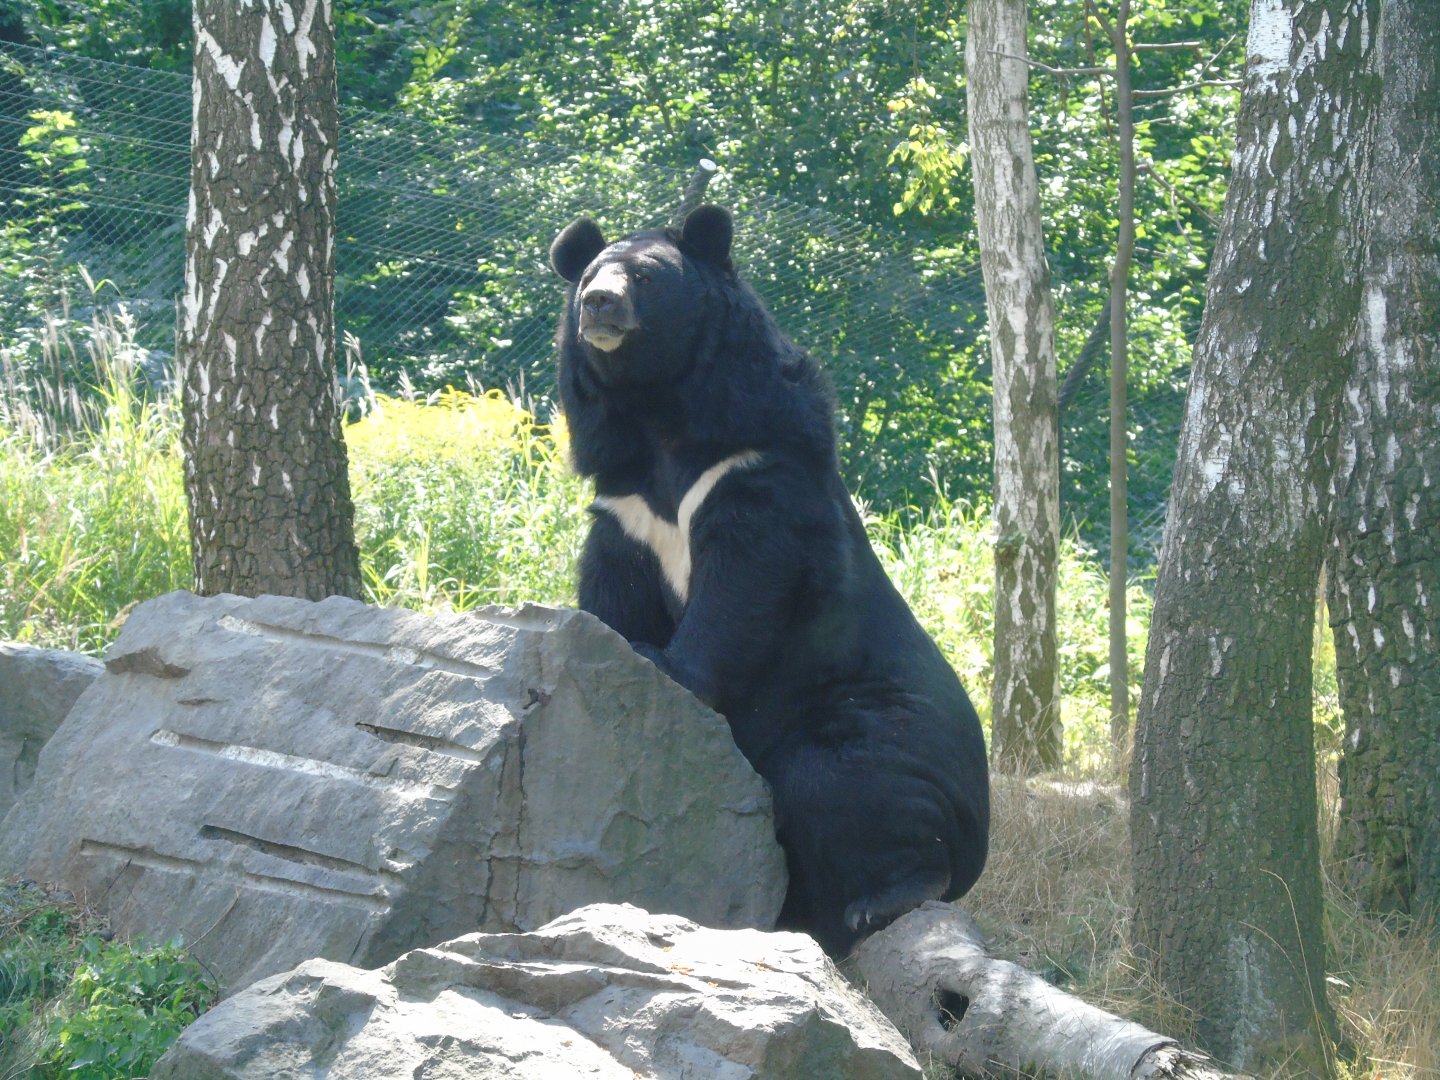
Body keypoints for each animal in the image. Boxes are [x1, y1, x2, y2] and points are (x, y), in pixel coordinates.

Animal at [548, 204, 989, 956]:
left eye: (645, 276)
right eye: (586, 277)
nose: (599, 306)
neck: (658, 409)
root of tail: (982, 835)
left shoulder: (757, 468)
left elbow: (742, 585)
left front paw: (663, 664)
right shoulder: (624, 505)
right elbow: (613, 586)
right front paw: (616, 646)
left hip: (871, 724)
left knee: (846, 785)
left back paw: (883, 899)